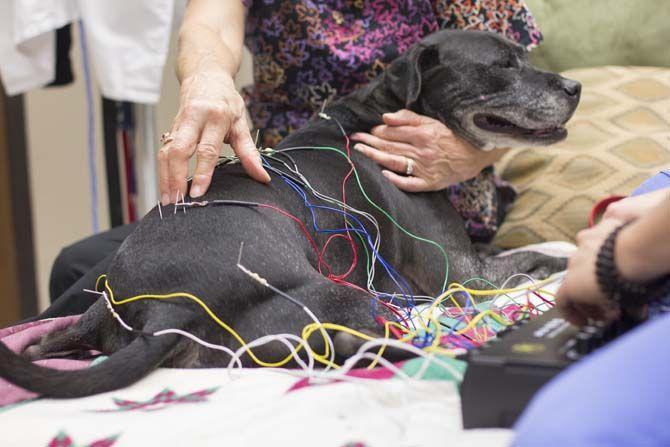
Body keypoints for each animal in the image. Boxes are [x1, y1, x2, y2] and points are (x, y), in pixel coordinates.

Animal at [0, 29, 580, 398]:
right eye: (503, 65)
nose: (574, 87)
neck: (377, 116)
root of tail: (168, 310)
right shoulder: (462, 276)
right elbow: (535, 254)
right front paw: (570, 257)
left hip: (90, 313)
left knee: (47, 342)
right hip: (347, 296)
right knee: (344, 348)